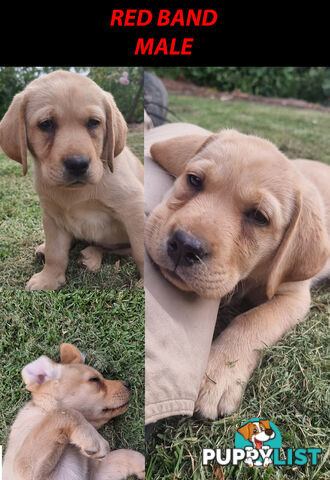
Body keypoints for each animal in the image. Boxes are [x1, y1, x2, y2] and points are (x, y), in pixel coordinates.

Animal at [0, 71, 144, 288]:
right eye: (46, 124)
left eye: (94, 122)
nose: (78, 164)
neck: (76, 192)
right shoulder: (51, 216)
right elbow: (55, 252)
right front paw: (49, 279)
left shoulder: (134, 207)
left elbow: (140, 251)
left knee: (114, 248)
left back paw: (91, 255)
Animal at [2, 344, 144, 480]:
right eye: (94, 379)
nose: (128, 384)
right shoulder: (23, 468)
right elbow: (66, 413)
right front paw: (94, 440)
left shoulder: (94, 474)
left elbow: (126, 455)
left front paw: (143, 465)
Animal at [146, 124, 330, 420]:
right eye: (194, 180)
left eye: (259, 217)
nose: (185, 245)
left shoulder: (294, 296)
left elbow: (253, 320)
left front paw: (218, 375)